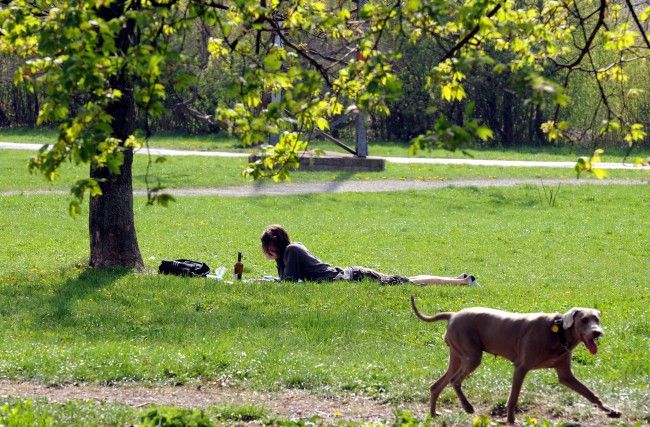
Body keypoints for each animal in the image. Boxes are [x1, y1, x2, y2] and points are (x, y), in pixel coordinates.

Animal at [410, 298, 616, 424]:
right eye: (584, 320)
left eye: (596, 319)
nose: (598, 332)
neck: (558, 333)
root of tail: (453, 314)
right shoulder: (521, 367)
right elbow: (513, 398)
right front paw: (510, 420)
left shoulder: (566, 375)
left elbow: (590, 393)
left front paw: (610, 410)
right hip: (472, 356)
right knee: (454, 380)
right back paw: (467, 407)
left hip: (458, 356)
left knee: (437, 385)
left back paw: (434, 413)